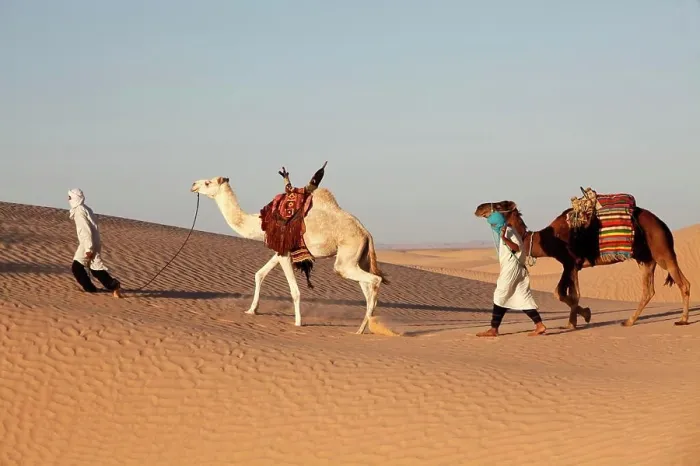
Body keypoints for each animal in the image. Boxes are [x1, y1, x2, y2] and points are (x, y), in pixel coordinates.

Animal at [190, 175, 388, 334]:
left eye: (208, 182)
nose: (193, 184)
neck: (261, 223)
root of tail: (366, 233)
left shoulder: (285, 253)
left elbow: (294, 291)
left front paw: (298, 322)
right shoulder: (279, 251)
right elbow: (259, 274)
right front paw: (252, 310)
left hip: (346, 257)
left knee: (373, 280)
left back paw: (362, 328)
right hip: (359, 259)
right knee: (368, 291)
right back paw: (366, 326)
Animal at [474, 200, 691, 329]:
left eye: (500, 205)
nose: (479, 208)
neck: (549, 238)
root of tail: (663, 224)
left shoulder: (570, 262)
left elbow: (566, 293)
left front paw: (580, 318)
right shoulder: (572, 265)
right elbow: (566, 293)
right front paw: (576, 320)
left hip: (662, 252)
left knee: (683, 283)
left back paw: (682, 320)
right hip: (646, 259)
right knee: (649, 290)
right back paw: (629, 321)